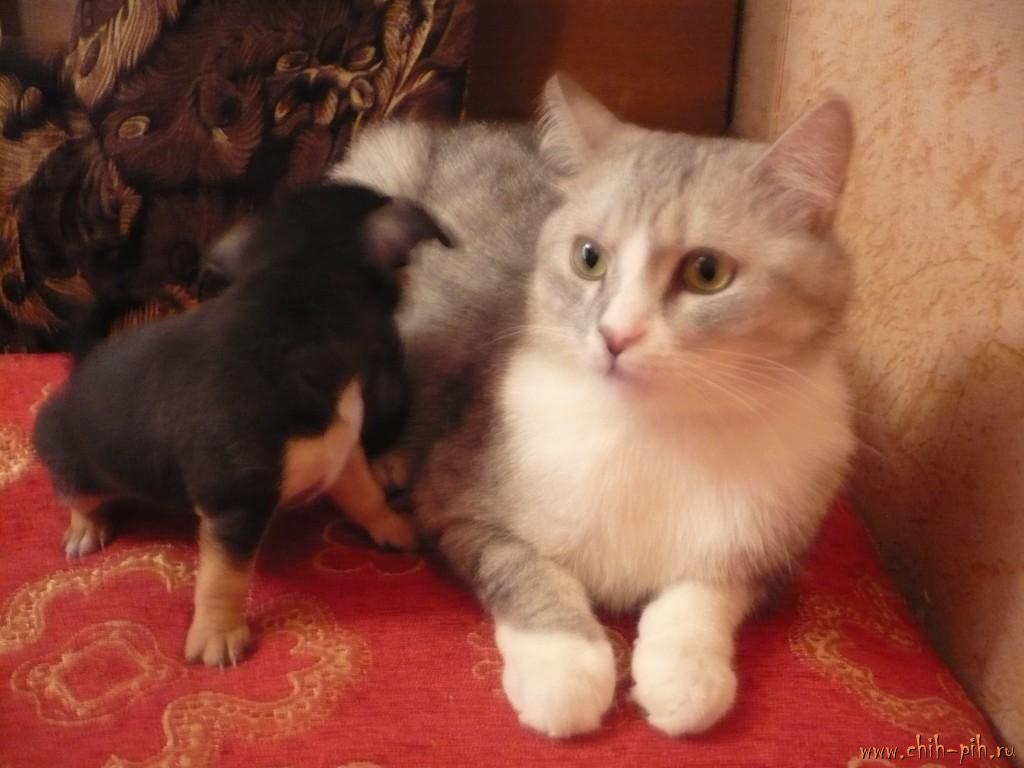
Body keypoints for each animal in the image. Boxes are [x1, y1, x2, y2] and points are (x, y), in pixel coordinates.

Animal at [32, 183, 452, 667]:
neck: (289, 309)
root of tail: (80, 369)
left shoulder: (343, 453)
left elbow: (367, 497)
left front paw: (395, 526)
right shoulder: (235, 505)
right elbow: (224, 576)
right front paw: (218, 633)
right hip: (77, 462)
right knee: (78, 494)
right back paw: (86, 527)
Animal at [331, 75, 856, 738]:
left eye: (708, 271)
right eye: (589, 257)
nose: (615, 336)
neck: (656, 430)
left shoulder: (770, 549)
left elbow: (704, 594)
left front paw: (684, 677)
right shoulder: (458, 506)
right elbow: (528, 573)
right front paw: (565, 670)